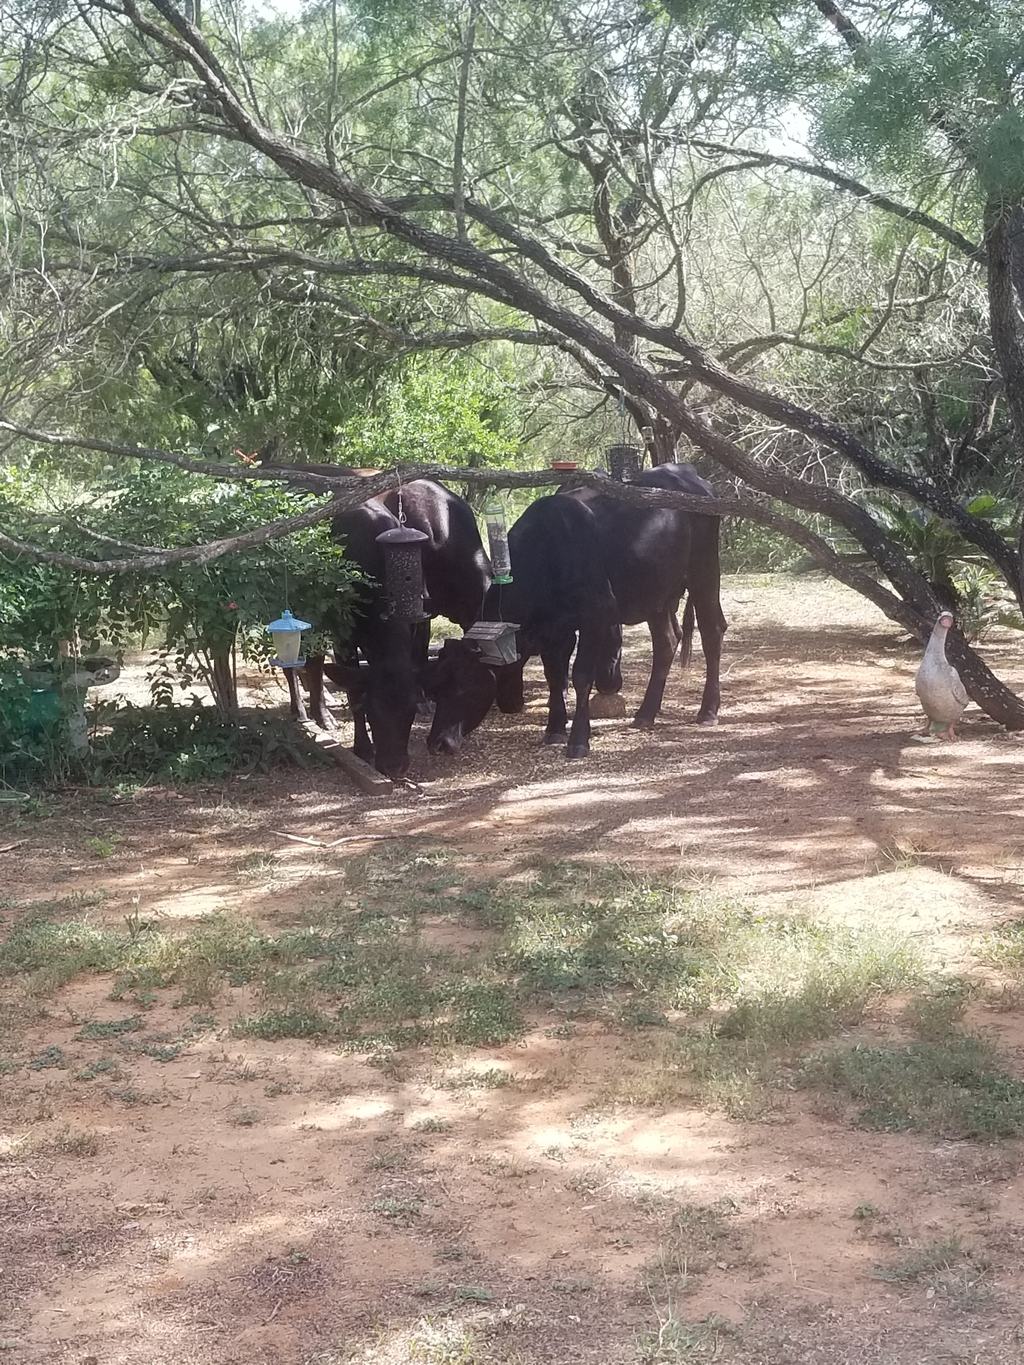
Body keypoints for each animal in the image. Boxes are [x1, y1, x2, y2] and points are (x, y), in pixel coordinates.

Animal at [286, 480, 494, 780]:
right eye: (372, 714)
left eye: (472, 690)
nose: (441, 744)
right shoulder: (345, 637)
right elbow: (355, 691)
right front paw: (363, 748)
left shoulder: (419, 617)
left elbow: (417, 659)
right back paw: (304, 712)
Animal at [425, 458, 731, 758]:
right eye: (436, 687)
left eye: (465, 685)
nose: (436, 743)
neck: (549, 551)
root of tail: (689, 474)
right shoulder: (555, 630)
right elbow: (555, 677)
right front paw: (555, 729)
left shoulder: (596, 614)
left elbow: (581, 676)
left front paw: (578, 740)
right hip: (656, 593)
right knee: (667, 641)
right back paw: (646, 713)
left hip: (704, 570)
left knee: (711, 630)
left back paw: (708, 710)